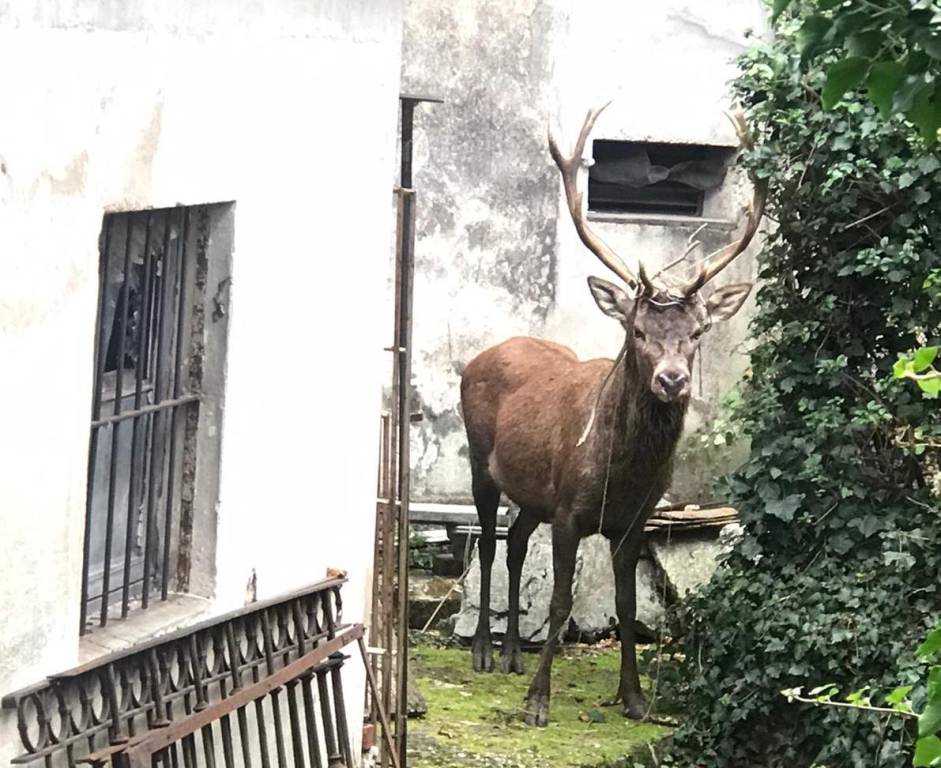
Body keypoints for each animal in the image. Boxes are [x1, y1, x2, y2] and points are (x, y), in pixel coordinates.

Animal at [459, 104, 766, 727]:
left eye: (698, 332)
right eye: (638, 330)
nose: (671, 379)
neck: (619, 472)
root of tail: (480, 354)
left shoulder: (633, 520)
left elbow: (627, 603)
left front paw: (635, 697)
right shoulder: (570, 509)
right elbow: (560, 600)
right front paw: (539, 703)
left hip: (534, 492)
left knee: (517, 542)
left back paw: (511, 654)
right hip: (480, 458)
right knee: (489, 542)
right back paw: (483, 650)